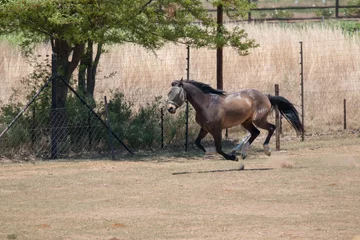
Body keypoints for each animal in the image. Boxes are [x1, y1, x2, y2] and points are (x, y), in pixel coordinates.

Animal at [167, 79, 304, 161]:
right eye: (169, 93)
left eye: (177, 94)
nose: (170, 108)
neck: (207, 103)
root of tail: (266, 96)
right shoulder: (205, 129)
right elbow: (198, 143)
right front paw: (209, 151)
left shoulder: (217, 129)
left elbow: (219, 148)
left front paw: (233, 157)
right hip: (246, 122)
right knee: (256, 132)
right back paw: (244, 153)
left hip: (258, 120)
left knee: (271, 128)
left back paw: (266, 150)